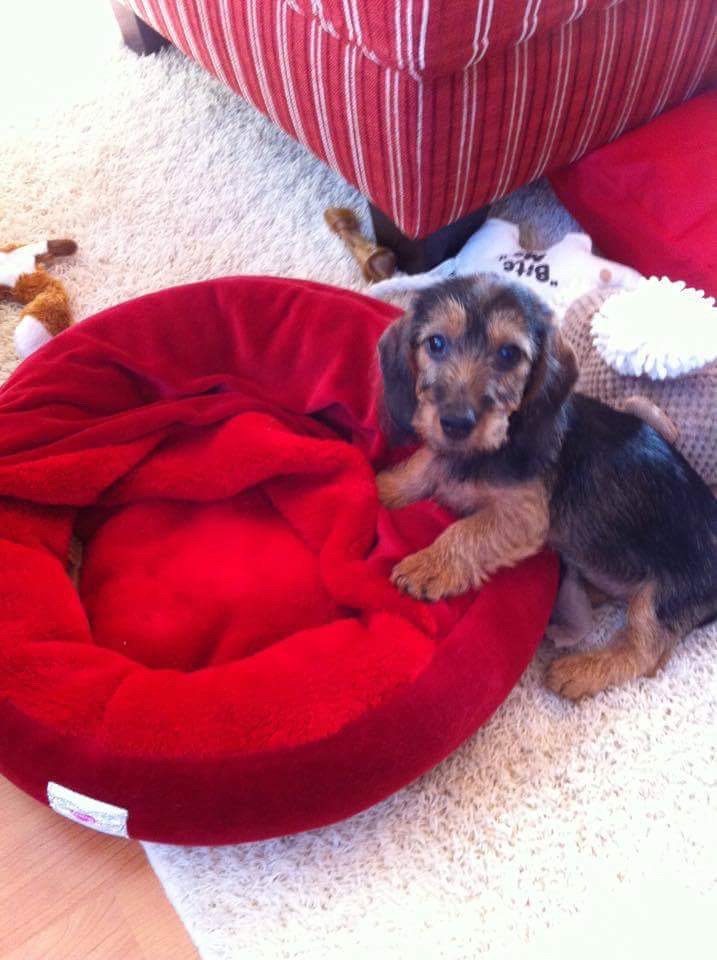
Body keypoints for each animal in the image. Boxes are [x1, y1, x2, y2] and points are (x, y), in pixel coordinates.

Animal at [376, 275, 717, 699]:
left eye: (509, 353)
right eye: (436, 343)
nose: (456, 422)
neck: (498, 442)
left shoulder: (525, 516)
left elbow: (466, 531)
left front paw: (428, 565)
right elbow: (427, 463)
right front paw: (387, 484)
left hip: (664, 597)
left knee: (644, 651)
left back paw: (581, 669)